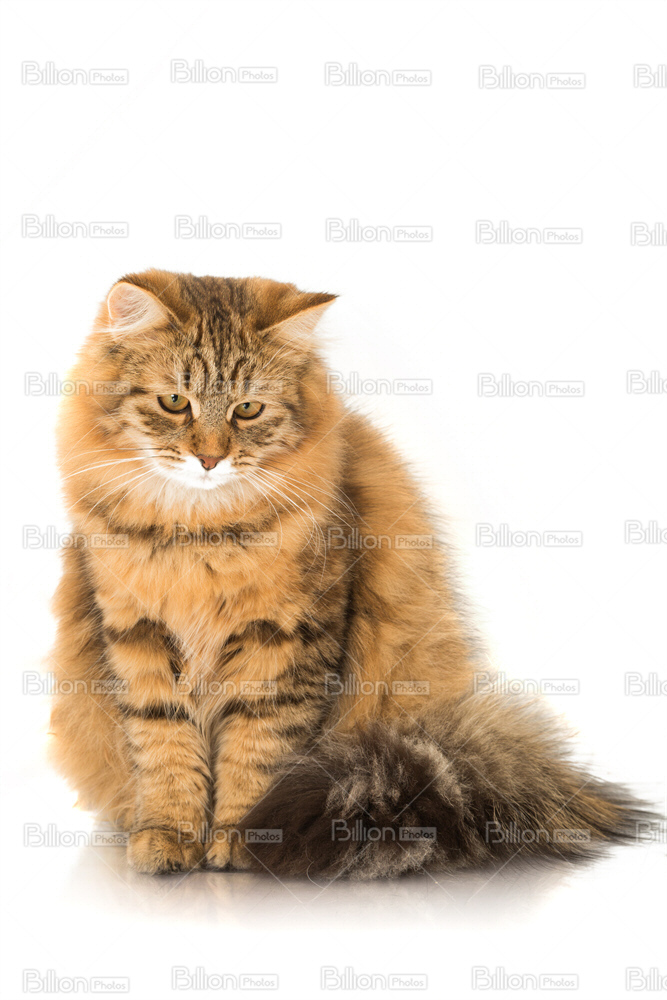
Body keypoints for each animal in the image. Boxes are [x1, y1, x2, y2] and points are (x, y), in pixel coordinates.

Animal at [50, 268, 651, 878]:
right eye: (175, 402)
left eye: (248, 410)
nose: (211, 460)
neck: (200, 533)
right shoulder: (137, 636)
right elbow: (166, 752)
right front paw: (168, 838)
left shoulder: (288, 642)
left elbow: (259, 752)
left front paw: (245, 841)